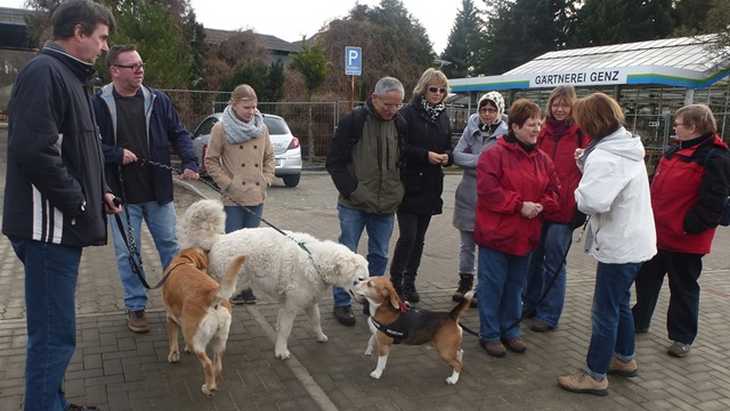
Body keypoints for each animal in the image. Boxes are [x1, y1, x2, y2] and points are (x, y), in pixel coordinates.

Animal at [161, 246, 246, 398]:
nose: (208, 250)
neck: (184, 261)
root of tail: (212, 296)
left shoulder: (170, 317)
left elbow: (173, 340)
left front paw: (173, 355)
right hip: (220, 341)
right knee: (217, 365)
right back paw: (212, 384)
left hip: (198, 343)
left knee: (208, 364)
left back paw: (209, 388)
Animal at [180, 200, 366, 360]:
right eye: (359, 279)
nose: (365, 302)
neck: (314, 259)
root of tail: (219, 239)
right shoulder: (292, 306)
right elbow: (286, 330)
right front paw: (281, 350)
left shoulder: (308, 301)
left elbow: (315, 320)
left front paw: (320, 336)